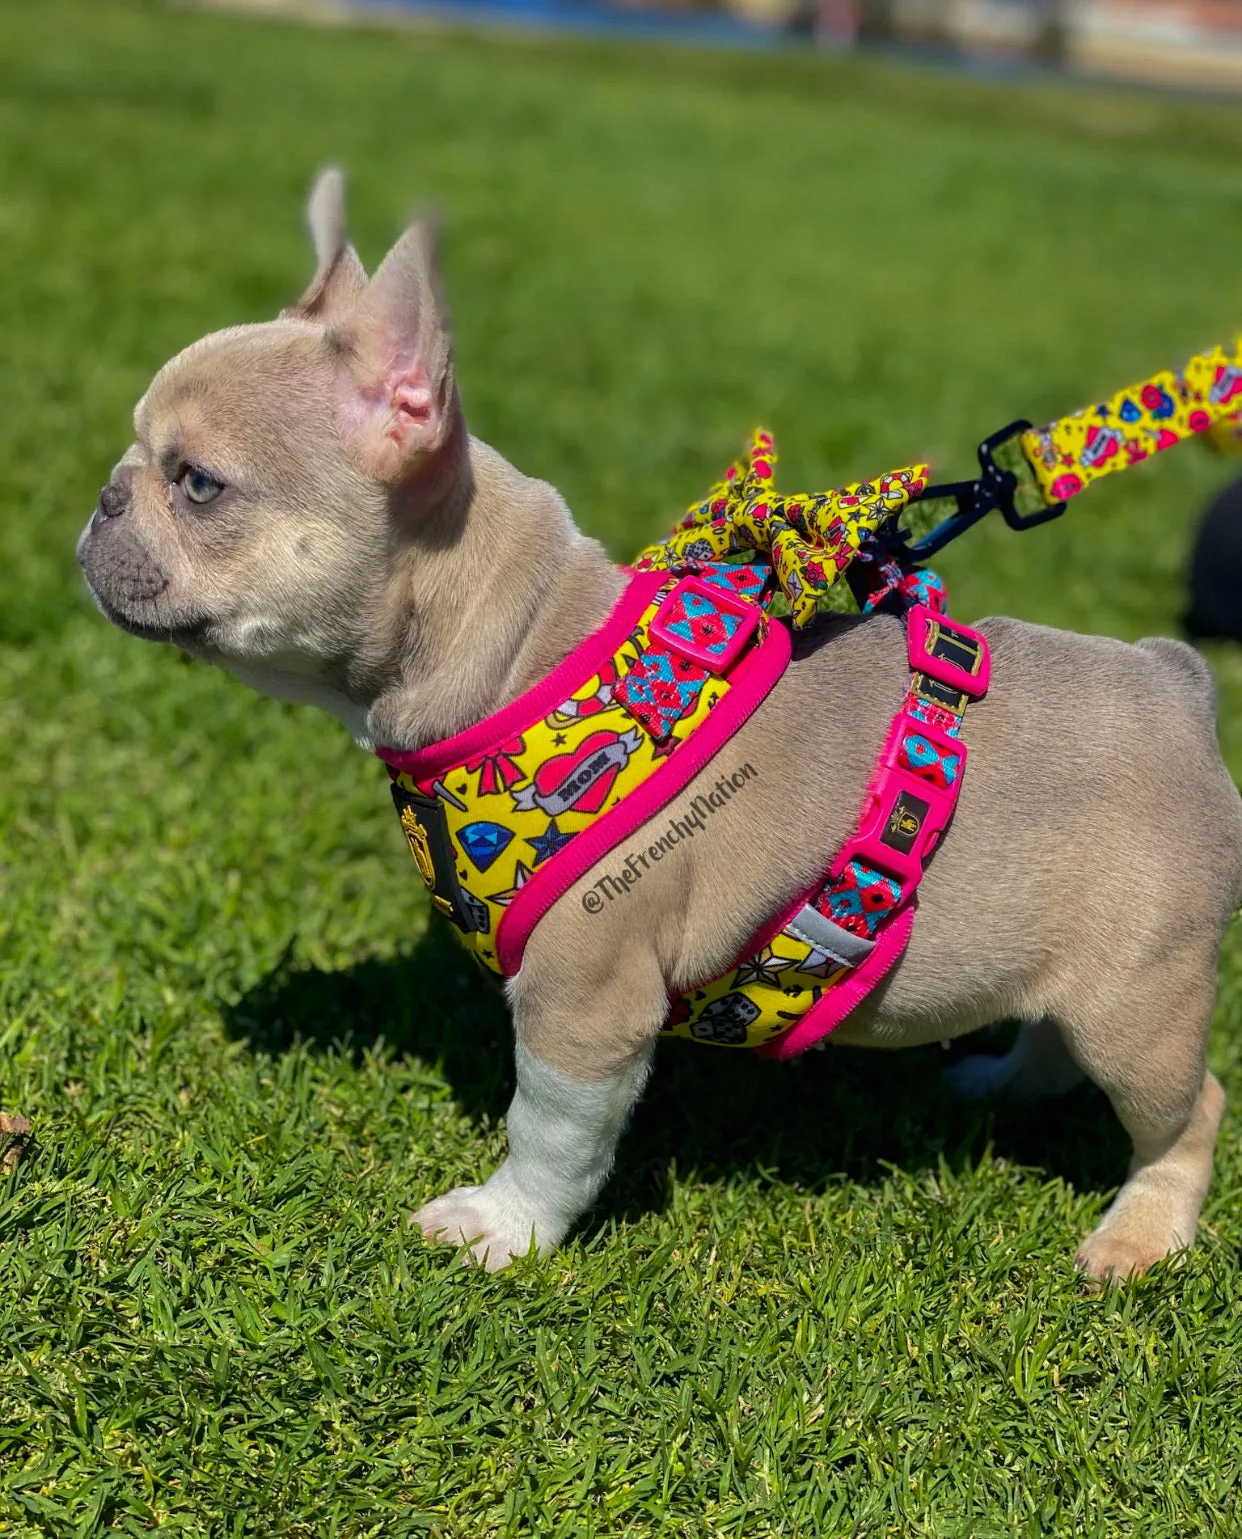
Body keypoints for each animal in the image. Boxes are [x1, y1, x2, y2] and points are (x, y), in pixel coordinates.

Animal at [82, 168, 1237, 1280]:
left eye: (197, 483)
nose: (103, 496)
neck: (524, 651)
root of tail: (1178, 680)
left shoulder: (585, 999)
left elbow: (550, 1131)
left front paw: (506, 1228)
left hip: (1139, 997)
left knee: (1190, 1110)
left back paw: (1139, 1238)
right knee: (1051, 1034)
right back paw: (999, 1082)